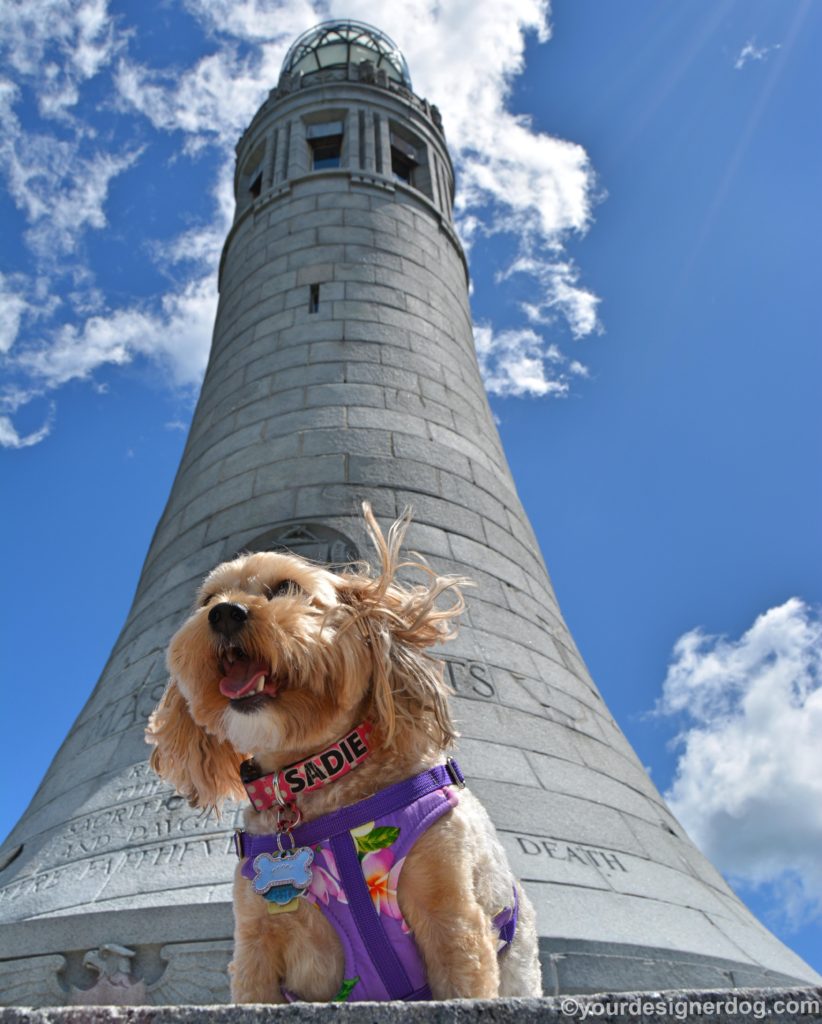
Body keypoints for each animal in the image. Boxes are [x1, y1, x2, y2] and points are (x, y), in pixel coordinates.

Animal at [146, 503, 544, 999]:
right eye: (208, 600)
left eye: (288, 588)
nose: (224, 614)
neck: (318, 780)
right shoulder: (256, 942)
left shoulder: (452, 916)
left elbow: (464, 980)